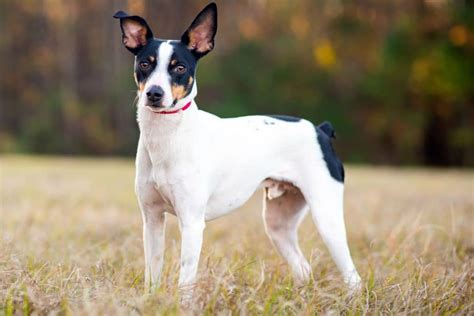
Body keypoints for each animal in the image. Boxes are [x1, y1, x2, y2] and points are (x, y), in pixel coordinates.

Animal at [113, 2, 362, 298]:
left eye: (180, 67)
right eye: (144, 64)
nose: (154, 93)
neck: (168, 137)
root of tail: (320, 130)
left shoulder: (192, 223)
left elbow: (186, 280)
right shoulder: (151, 219)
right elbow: (153, 272)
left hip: (326, 218)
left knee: (353, 276)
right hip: (278, 224)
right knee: (303, 268)